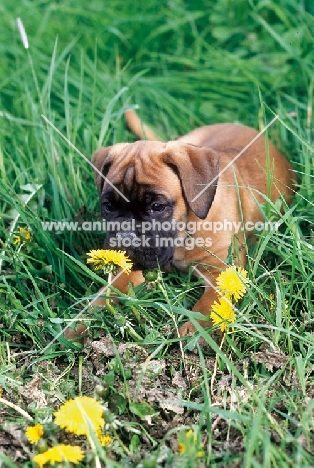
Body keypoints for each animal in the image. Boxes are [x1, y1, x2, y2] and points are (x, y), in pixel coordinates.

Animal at [90, 111, 294, 334]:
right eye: (108, 206)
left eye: (157, 206)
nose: (124, 236)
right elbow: (105, 295)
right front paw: (79, 326)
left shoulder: (223, 272)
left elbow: (209, 307)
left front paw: (195, 334)